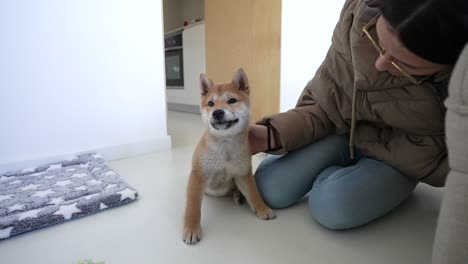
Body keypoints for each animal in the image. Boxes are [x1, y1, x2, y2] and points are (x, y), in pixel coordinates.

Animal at [183, 68, 276, 245]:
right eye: (210, 103)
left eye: (232, 100)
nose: (217, 112)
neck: (225, 146)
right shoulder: (198, 175)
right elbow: (193, 206)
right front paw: (191, 228)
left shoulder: (243, 174)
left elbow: (254, 193)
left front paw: (262, 208)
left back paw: (238, 195)